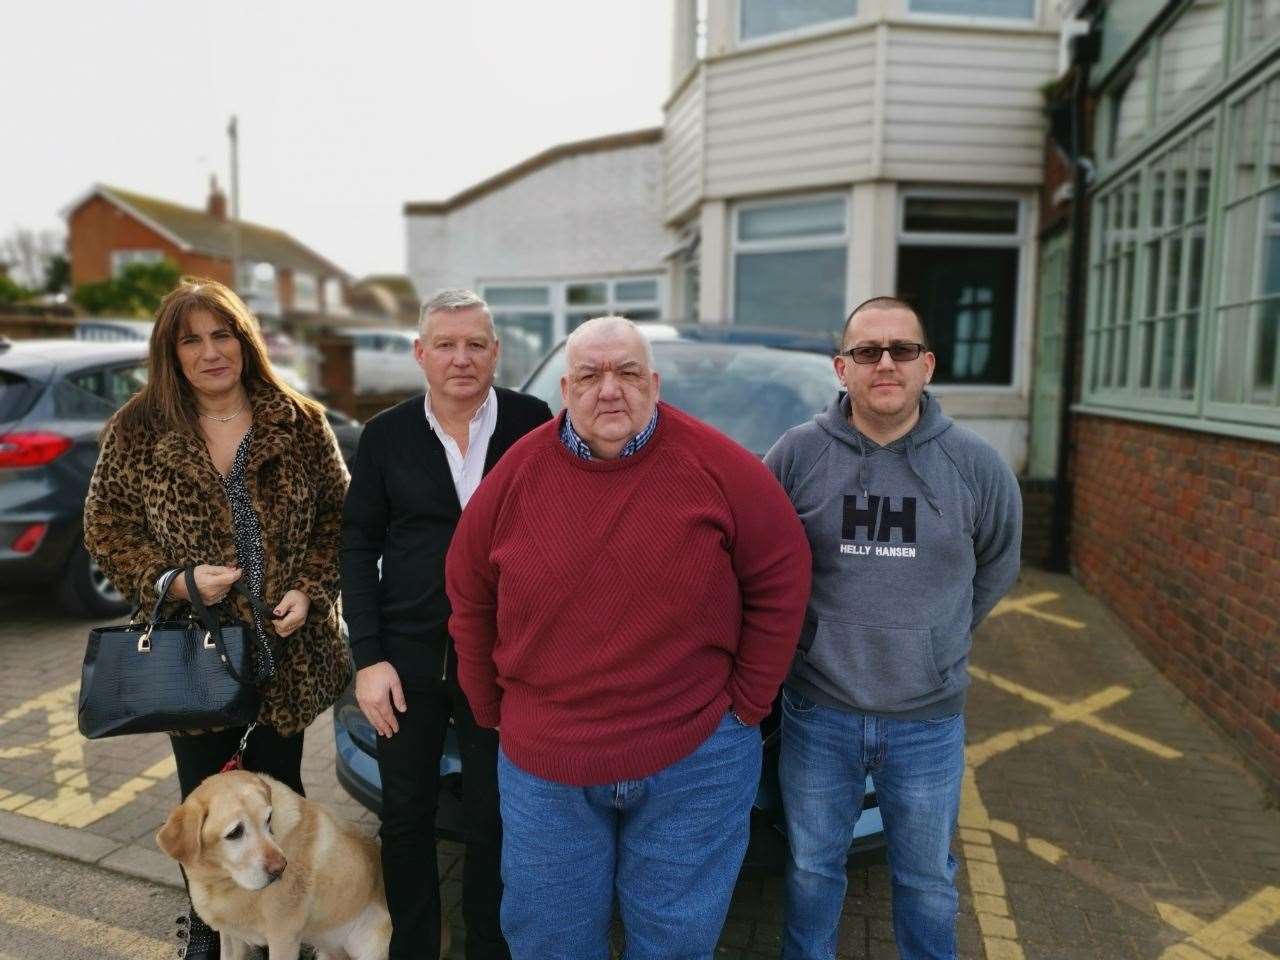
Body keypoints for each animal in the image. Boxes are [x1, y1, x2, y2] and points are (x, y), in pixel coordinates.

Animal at [154, 773, 386, 960]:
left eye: (268, 820)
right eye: (235, 832)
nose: (281, 867)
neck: (223, 881)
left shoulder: (283, 937)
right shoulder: (231, 935)